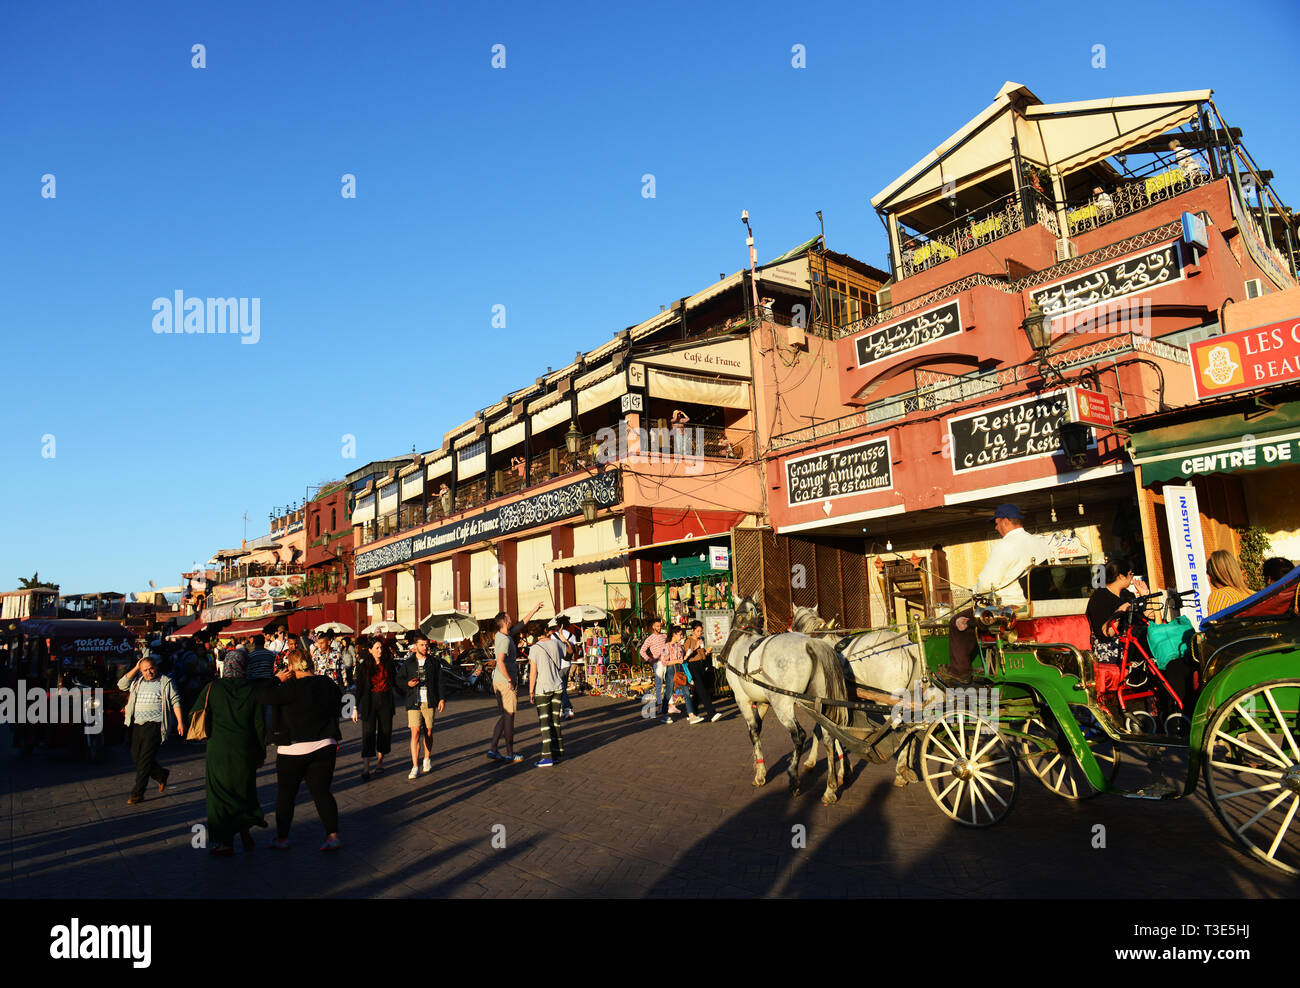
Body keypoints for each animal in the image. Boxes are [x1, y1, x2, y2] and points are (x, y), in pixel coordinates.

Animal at [722, 595, 852, 800]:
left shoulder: (742, 700)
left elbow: (753, 731)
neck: (745, 634)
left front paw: (760, 773)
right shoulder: (763, 702)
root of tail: (811, 644)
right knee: (829, 735)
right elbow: (758, 728)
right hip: (820, 703)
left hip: (782, 704)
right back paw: (830, 788)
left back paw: (794, 778)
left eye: (736, 612)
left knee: (799, 735)